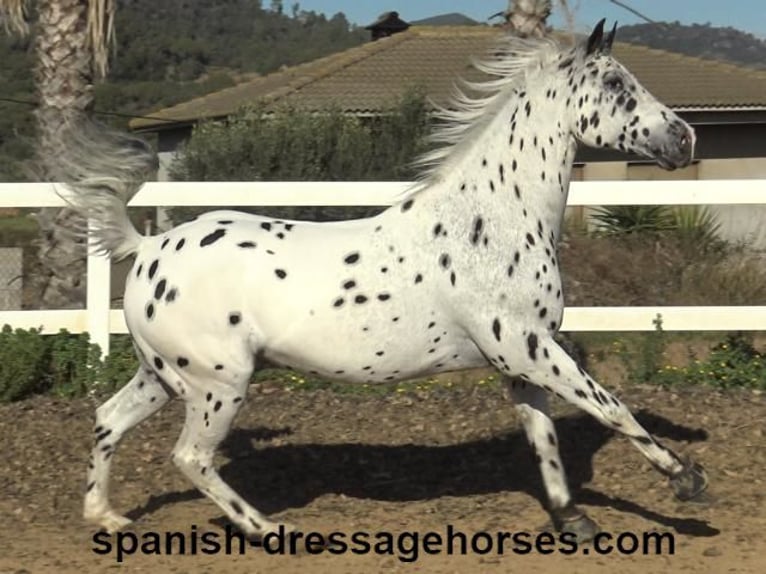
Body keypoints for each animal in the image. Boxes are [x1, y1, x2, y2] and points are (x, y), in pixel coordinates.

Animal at [57, 20, 712, 544]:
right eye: (617, 86)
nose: (685, 137)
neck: (487, 222)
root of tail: (146, 249)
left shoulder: (518, 363)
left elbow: (544, 439)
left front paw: (572, 519)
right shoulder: (529, 347)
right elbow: (611, 408)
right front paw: (689, 482)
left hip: (165, 376)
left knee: (108, 419)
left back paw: (106, 516)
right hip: (218, 384)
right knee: (190, 457)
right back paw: (268, 528)